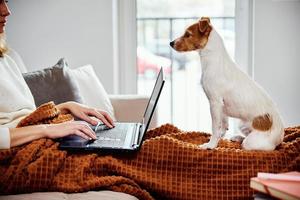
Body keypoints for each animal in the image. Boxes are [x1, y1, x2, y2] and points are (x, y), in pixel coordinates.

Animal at [170, 16, 284, 150]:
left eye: (188, 34)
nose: (171, 43)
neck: (213, 60)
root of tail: (280, 138)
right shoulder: (221, 107)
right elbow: (223, 124)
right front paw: (220, 137)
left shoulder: (215, 103)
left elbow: (215, 127)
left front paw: (211, 145)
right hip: (242, 124)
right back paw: (237, 137)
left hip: (253, 142)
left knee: (255, 146)